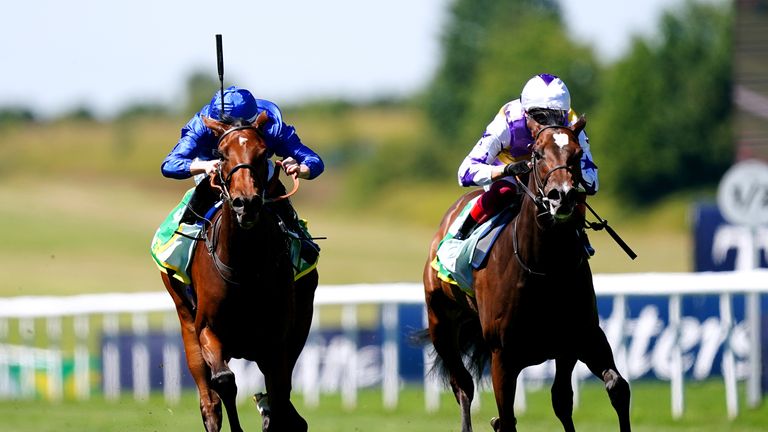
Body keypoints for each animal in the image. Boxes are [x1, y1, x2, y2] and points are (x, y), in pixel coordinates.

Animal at [160, 111, 320, 432]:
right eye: (221, 154)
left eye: (263, 152)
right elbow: (224, 381)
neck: (245, 266)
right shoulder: (208, 328)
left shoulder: (276, 337)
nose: (245, 203)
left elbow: (279, 392)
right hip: (185, 317)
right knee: (209, 397)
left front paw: (274, 415)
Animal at [424, 115, 632, 432]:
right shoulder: (503, 357)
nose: (562, 197)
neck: (545, 268)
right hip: (442, 324)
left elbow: (606, 390)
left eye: (577, 154)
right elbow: (509, 418)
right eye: (537, 153)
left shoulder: (579, 339)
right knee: (463, 386)